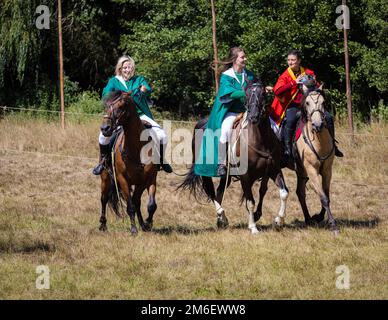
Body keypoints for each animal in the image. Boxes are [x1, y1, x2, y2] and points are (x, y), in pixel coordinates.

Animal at [99, 90, 158, 235]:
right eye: (106, 106)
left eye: (121, 106)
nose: (105, 128)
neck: (136, 148)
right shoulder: (122, 179)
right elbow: (131, 206)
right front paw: (133, 229)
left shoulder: (148, 179)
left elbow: (150, 205)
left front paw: (147, 224)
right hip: (105, 178)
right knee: (104, 199)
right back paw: (103, 225)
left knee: (137, 201)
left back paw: (142, 224)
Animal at [179, 81, 288, 234]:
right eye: (246, 96)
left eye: (263, 94)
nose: (253, 117)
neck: (260, 140)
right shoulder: (245, 176)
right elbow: (250, 201)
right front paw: (253, 227)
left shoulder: (274, 170)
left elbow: (283, 193)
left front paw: (278, 220)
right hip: (206, 171)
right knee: (210, 191)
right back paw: (221, 214)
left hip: (227, 175)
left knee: (219, 191)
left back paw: (221, 220)